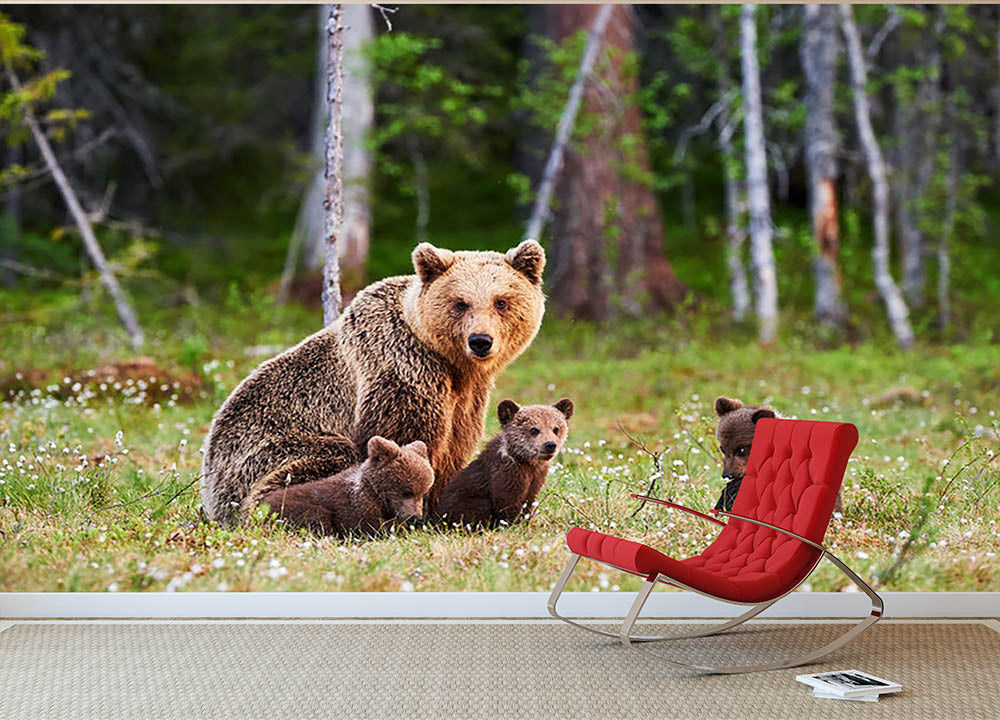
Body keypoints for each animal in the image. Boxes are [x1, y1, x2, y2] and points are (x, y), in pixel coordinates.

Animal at [200, 239, 546, 525]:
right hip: (264, 454)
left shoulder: (467, 397)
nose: (480, 341)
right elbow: (401, 437)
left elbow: (453, 447)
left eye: (501, 301)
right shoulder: (400, 367)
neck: (450, 362)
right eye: (460, 302)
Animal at [434, 398, 573, 528]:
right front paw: (512, 524)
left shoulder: (536, 478)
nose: (550, 445)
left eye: (556, 429)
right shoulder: (506, 474)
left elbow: (528, 501)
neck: (526, 461)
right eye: (534, 429)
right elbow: (506, 503)